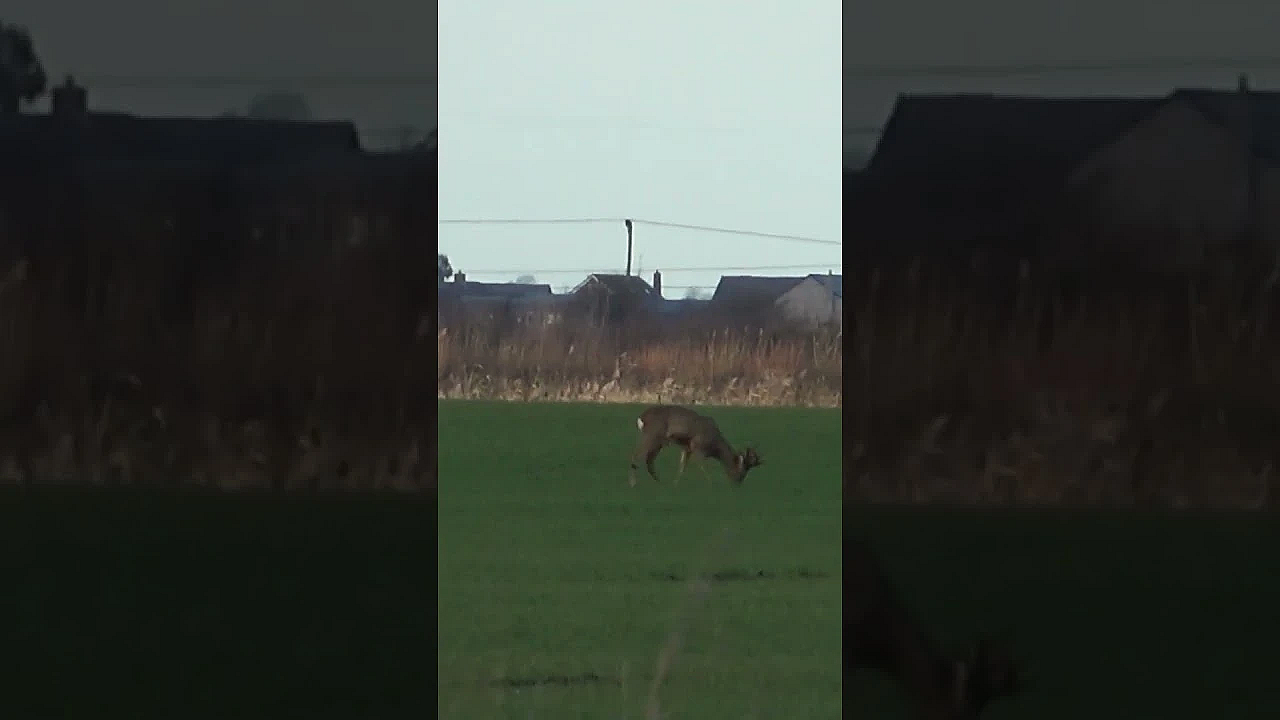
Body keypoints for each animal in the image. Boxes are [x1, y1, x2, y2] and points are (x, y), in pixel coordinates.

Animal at [628, 404, 761, 487]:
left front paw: (675, 484)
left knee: (649, 459)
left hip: (658, 441)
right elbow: (702, 466)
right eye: (742, 470)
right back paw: (633, 483)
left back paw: (658, 482)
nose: (738, 483)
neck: (715, 446)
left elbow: (682, 466)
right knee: (636, 455)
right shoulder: (698, 446)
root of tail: (641, 417)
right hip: (652, 435)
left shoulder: (687, 448)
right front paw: (711, 483)